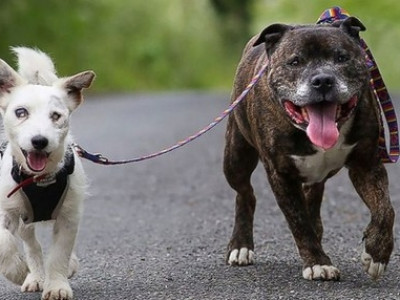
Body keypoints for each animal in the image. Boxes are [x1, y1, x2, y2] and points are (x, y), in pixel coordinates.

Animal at [0, 47, 94, 300]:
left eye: (56, 116)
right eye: (21, 112)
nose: (39, 141)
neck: (39, 180)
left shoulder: (69, 216)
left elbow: (60, 253)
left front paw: (57, 285)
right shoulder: (6, 210)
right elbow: (4, 242)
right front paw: (17, 271)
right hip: (25, 221)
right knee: (32, 245)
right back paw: (35, 276)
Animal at [223, 16, 396, 280]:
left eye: (341, 58)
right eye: (295, 62)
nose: (322, 80)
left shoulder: (366, 164)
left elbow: (385, 209)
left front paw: (377, 253)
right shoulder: (281, 175)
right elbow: (298, 222)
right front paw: (317, 263)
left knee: (311, 198)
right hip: (235, 159)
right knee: (245, 194)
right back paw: (241, 246)